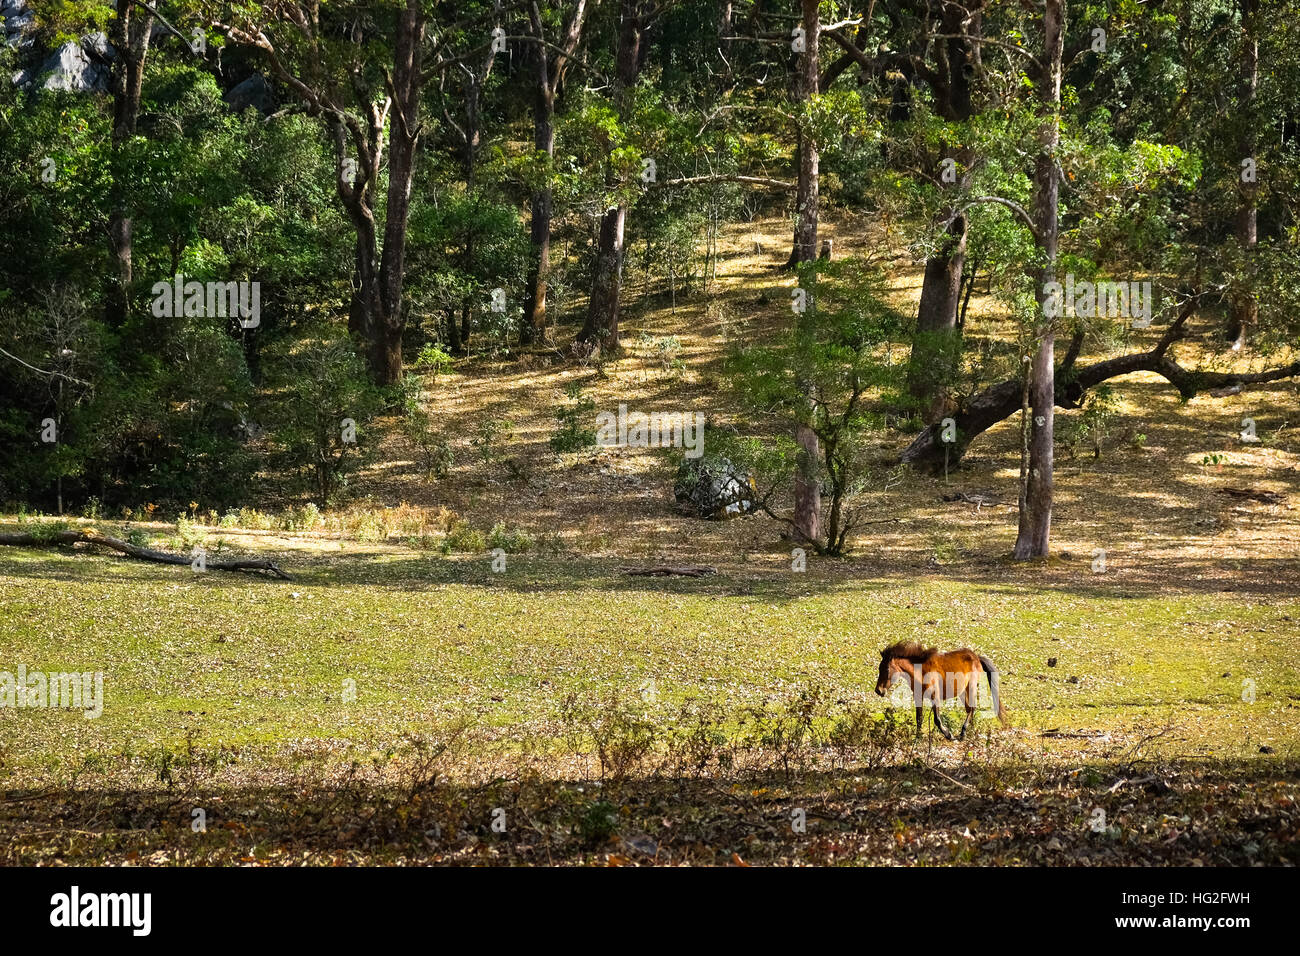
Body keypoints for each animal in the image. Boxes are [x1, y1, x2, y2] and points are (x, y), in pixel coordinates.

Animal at [878, 642, 1008, 738]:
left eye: (887, 669)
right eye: (879, 668)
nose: (878, 690)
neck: (921, 671)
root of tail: (976, 657)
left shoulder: (935, 696)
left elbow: (937, 719)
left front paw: (948, 734)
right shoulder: (918, 697)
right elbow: (919, 718)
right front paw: (918, 737)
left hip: (970, 687)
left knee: (972, 708)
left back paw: (963, 732)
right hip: (961, 692)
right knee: (969, 709)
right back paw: (970, 731)